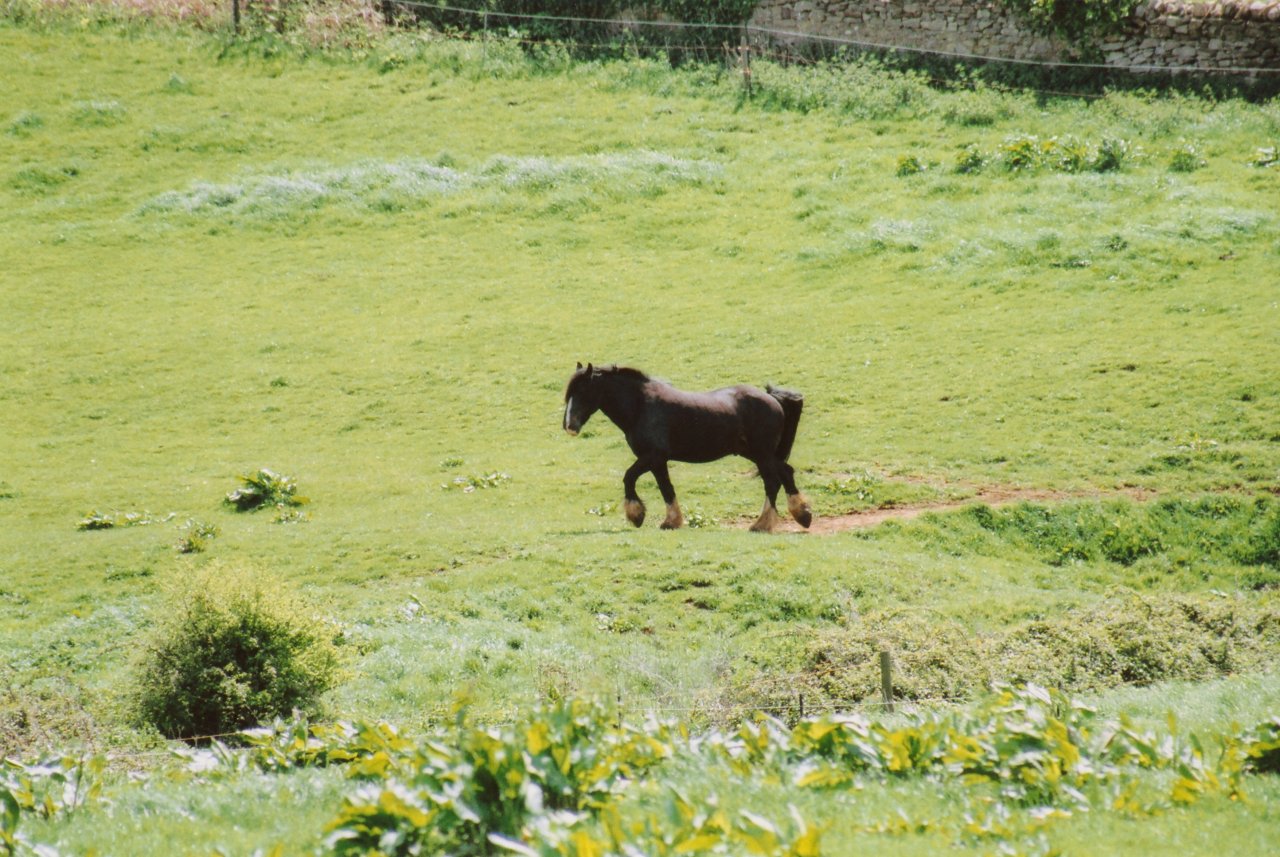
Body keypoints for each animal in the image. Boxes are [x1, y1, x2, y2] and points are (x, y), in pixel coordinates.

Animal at [560, 365, 808, 534]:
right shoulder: (657, 461)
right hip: (757, 454)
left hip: (762, 454)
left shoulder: (652, 456)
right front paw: (671, 521)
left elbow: (629, 477)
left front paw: (636, 515)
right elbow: (666, 488)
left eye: (583, 391)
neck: (641, 406)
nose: (570, 426)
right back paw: (798, 515)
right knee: (784, 474)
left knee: (774, 480)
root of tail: (771, 398)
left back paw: (766, 523)